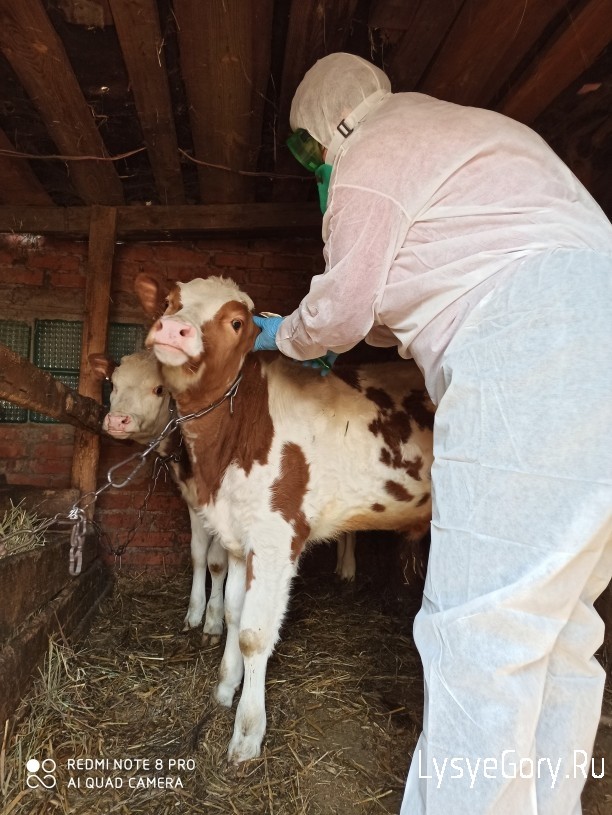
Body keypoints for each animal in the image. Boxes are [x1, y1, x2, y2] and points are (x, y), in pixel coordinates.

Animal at [89, 350, 226, 644]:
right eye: (113, 384)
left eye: (159, 389)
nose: (117, 420)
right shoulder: (193, 499)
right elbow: (198, 555)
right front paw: (194, 614)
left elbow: (217, 562)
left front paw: (213, 623)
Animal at [136, 274, 436, 764]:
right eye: (168, 303)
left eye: (237, 322)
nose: (172, 329)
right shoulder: (239, 536)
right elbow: (234, 613)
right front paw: (225, 688)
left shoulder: (277, 538)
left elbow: (254, 635)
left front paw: (246, 733)